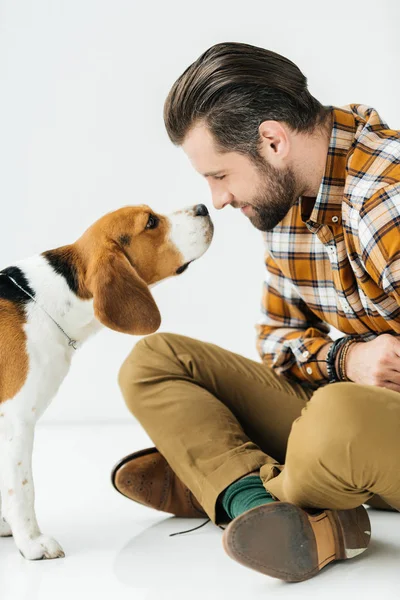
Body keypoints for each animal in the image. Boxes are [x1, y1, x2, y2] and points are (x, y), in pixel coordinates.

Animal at [0, 202, 214, 556]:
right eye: (151, 222)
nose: (202, 207)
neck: (47, 299)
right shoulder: (15, 421)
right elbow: (23, 489)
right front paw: (31, 542)